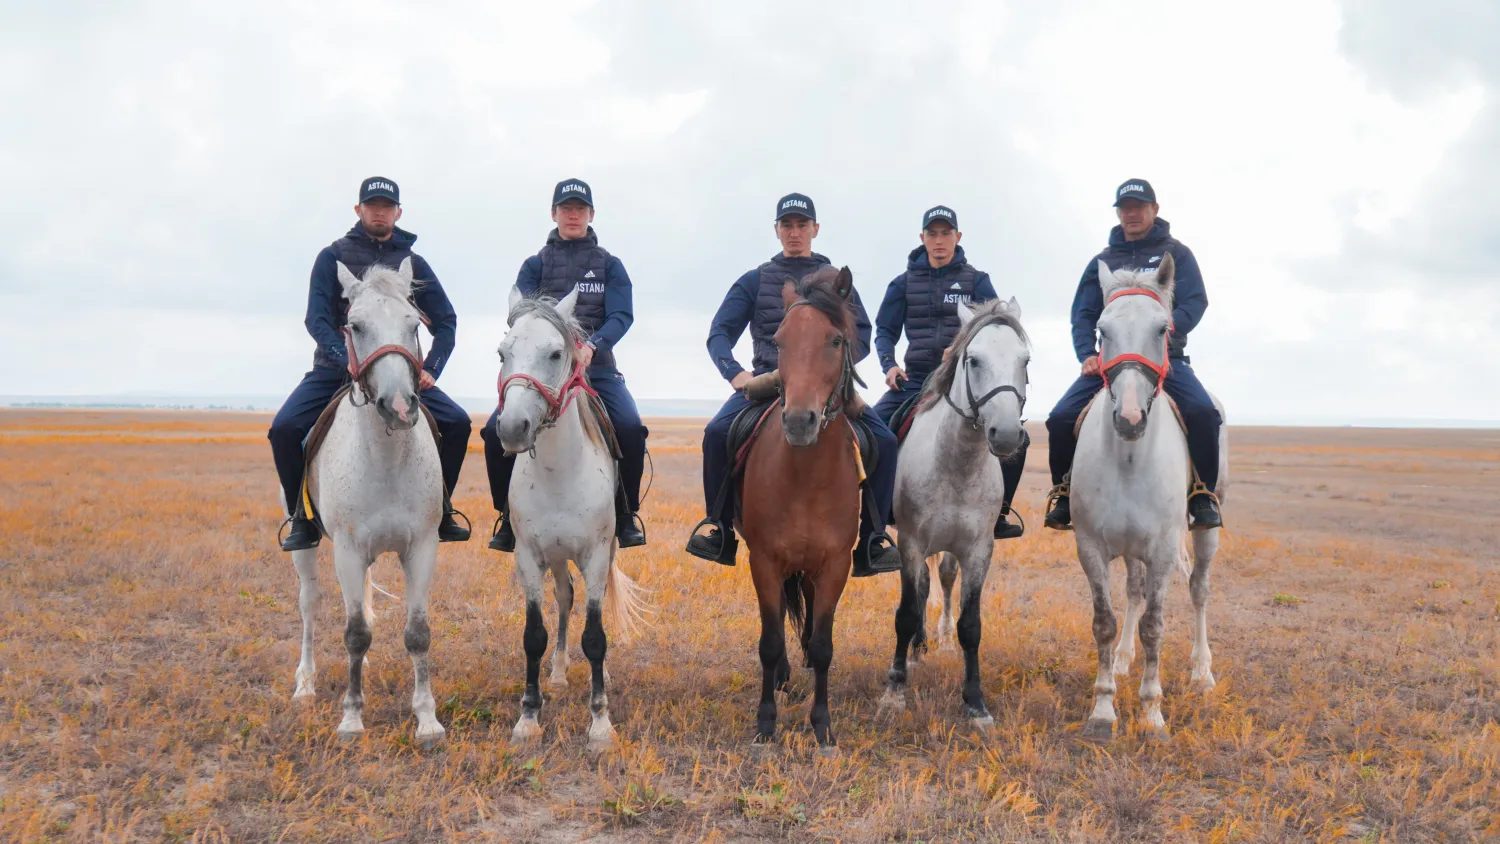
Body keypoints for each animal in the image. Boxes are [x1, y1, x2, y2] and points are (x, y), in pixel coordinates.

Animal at [283, 257, 441, 746]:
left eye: (414, 323)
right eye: (355, 325)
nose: (399, 406)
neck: (386, 458)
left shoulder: (422, 548)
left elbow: (417, 633)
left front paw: (427, 719)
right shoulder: (349, 552)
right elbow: (354, 633)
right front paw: (352, 718)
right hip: (308, 550)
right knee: (310, 605)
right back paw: (305, 685)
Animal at [495, 286, 648, 752]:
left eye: (555, 352)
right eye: (502, 353)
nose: (513, 427)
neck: (558, 472)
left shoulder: (596, 556)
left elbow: (595, 638)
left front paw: (600, 724)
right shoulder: (528, 558)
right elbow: (534, 635)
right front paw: (528, 718)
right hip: (558, 557)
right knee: (564, 600)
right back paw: (559, 672)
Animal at [741, 266, 870, 749]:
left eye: (835, 340)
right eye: (779, 341)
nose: (799, 422)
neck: (805, 479)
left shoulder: (835, 565)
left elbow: (823, 642)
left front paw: (822, 726)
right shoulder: (763, 561)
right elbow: (769, 640)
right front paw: (765, 724)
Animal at [876, 299, 1032, 728]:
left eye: (1025, 360)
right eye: (974, 360)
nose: (1006, 435)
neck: (957, 461)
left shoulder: (978, 550)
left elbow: (970, 625)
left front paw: (975, 703)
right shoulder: (911, 544)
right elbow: (905, 613)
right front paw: (894, 692)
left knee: (942, 579)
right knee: (919, 592)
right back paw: (916, 650)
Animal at [1074, 254, 1224, 743]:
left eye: (1162, 329)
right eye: (1102, 330)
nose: (1130, 417)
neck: (1128, 456)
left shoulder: (1161, 549)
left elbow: (1155, 627)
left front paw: (1152, 714)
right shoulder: (1091, 547)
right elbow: (1105, 622)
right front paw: (1103, 710)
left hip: (1205, 534)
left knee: (1198, 590)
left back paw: (1202, 672)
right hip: (1130, 547)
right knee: (1134, 593)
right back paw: (1123, 660)